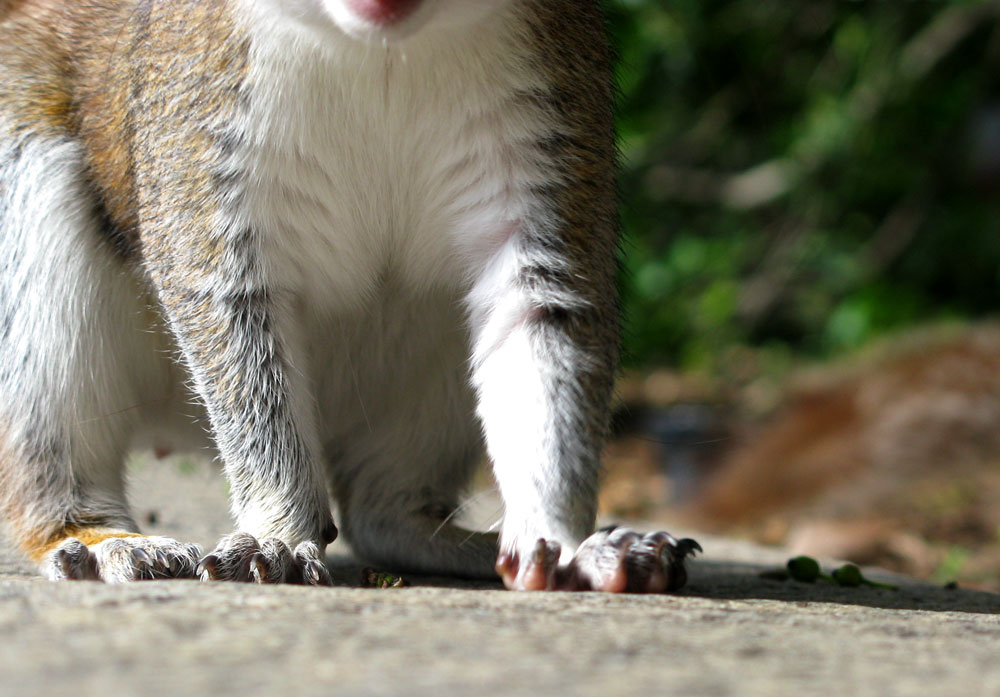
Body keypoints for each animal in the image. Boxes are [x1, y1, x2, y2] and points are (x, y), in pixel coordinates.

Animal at [0, 0, 698, 591]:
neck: (382, 53)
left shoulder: (546, 128)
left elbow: (541, 333)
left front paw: (570, 546)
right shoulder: (200, 124)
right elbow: (244, 357)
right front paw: (277, 539)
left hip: (427, 386)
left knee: (381, 513)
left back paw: (475, 544)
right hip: (30, 243)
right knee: (51, 442)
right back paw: (102, 541)